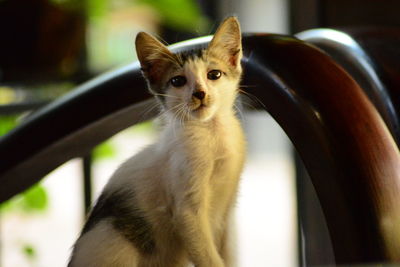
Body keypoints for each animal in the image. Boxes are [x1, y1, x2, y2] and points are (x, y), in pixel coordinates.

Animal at [67, 17, 245, 267]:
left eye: (214, 75)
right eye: (178, 81)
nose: (199, 93)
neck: (211, 134)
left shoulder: (227, 209)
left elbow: (227, 252)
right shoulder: (187, 212)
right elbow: (208, 256)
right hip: (115, 243)